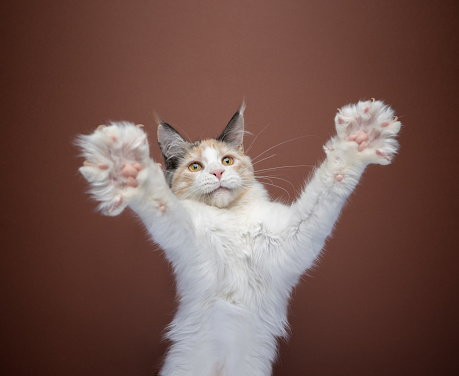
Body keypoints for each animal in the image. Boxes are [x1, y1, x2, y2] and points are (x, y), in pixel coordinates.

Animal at [78, 98, 402, 374]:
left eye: (227, 161)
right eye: (195, 167)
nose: (218, 174)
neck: (231, 219)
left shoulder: (293, 240)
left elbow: (331, 180)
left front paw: (361, 137)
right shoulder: (192, 244)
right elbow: (163, 205)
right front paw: (126, 168)